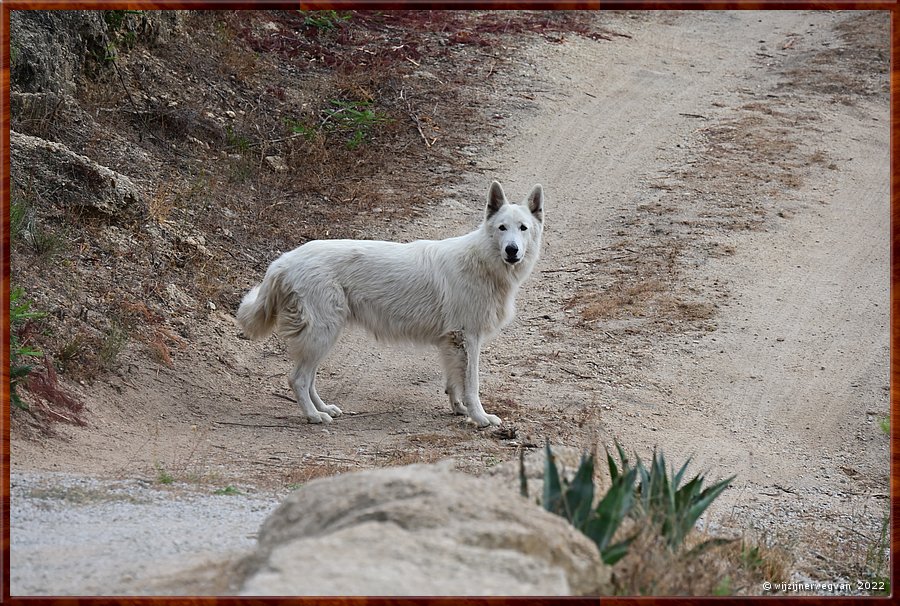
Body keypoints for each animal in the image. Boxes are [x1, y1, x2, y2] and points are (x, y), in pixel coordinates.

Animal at [237, 180, 540, 428]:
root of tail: (285, 260)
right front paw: (480, 417)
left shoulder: (452, 342)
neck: (483, 261)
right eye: (502, 228)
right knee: (297, 379)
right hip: (322, 334)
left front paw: (459, 409)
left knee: (308, 378)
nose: (512, 250)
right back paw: (313, 416)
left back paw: (324, 409)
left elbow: (454, 382)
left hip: (324, 335)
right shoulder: (469, 338)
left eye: (523, 228)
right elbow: (472, 385)